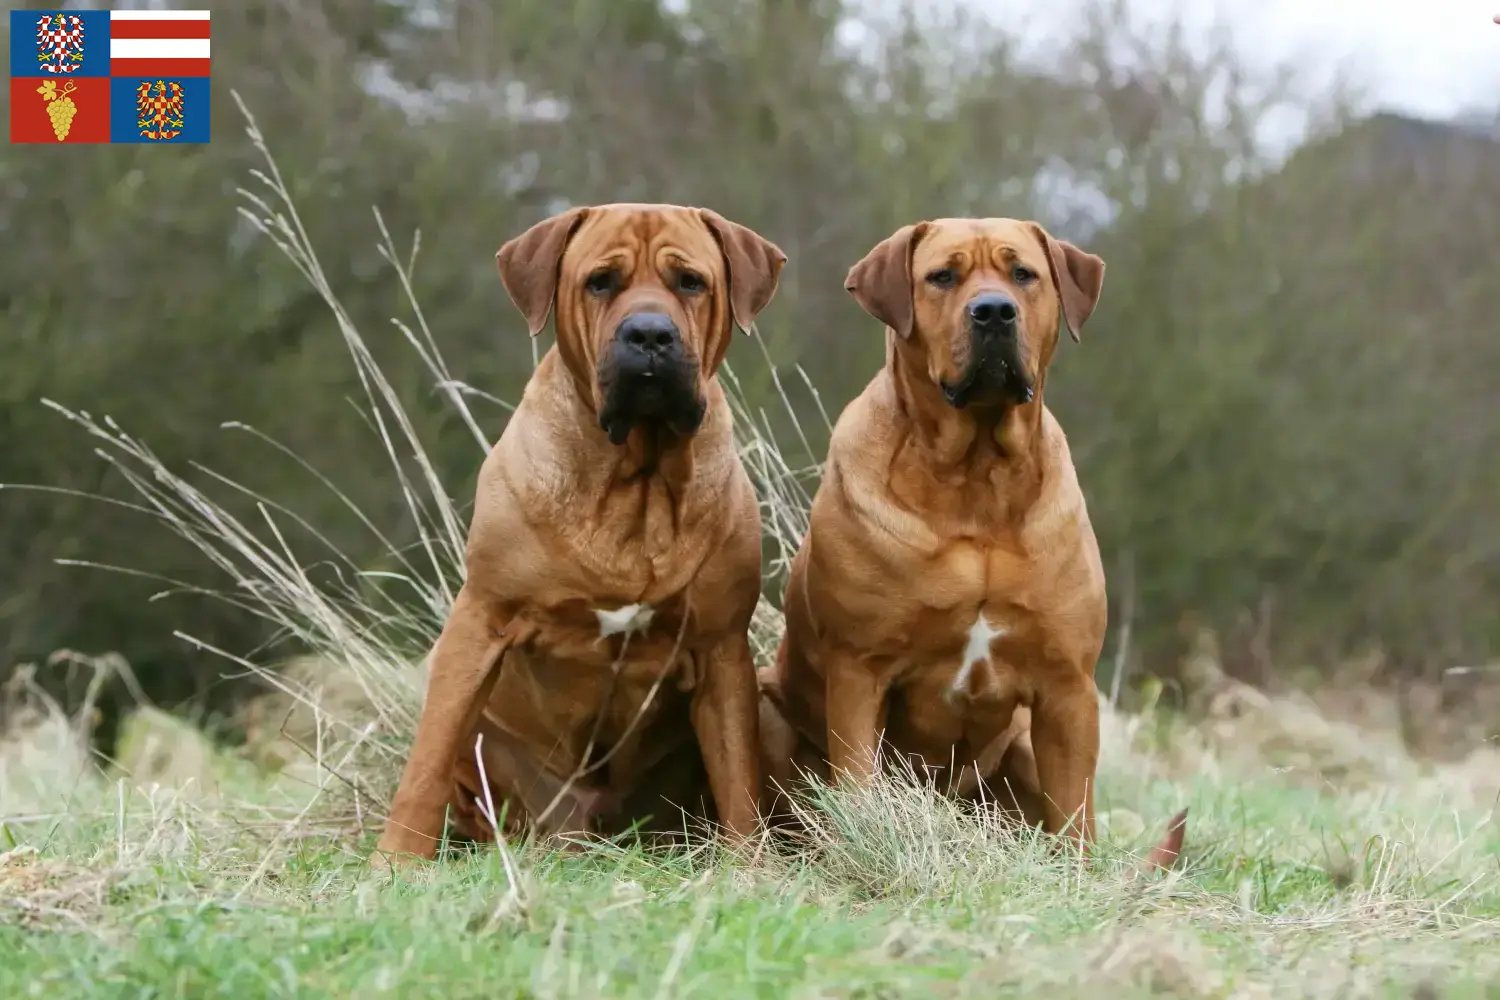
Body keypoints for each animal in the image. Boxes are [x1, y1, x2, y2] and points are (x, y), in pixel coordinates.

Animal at [375, 203, 786, 863]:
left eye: (690, 282)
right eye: (601, 282)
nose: (650, 335)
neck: (636, 478)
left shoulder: (721, 647)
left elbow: (738, 778)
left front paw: (750, 864)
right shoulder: (481, 620)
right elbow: (428, 757)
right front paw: (394, 860)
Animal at [768, 217, 1188, 869]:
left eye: (1023, 274)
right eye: (943, 276)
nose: (994, 311)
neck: (977, 476)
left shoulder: (1067, 687)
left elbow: (1075, 812)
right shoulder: (860, 672)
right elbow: (857, 780)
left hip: (1023, 744)